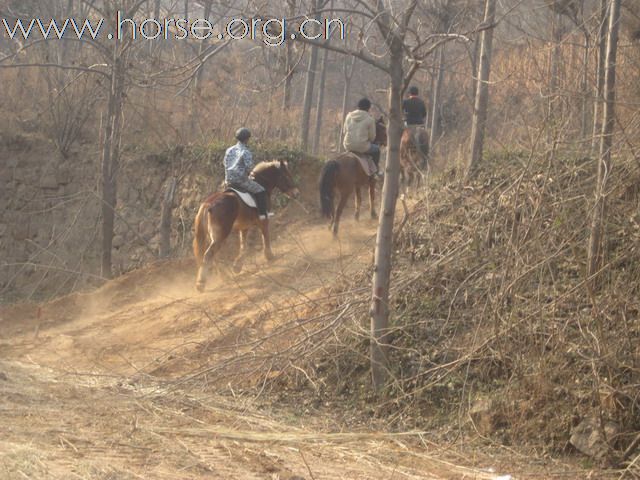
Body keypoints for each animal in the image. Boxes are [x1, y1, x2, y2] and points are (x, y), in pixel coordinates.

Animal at [192, 160, 300, 292]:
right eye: (286, 176)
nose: (296, 193)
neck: (261, 183)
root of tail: (208, 204)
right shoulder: (263, 221)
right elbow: (265, 237)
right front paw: (269, 256)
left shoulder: (244, 227)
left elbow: (244, 246)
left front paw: (237, 266)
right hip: (220, 236)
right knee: (209, 255)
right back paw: (201, 284)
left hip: (214, 237)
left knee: (214, 256)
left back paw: (225, 277)